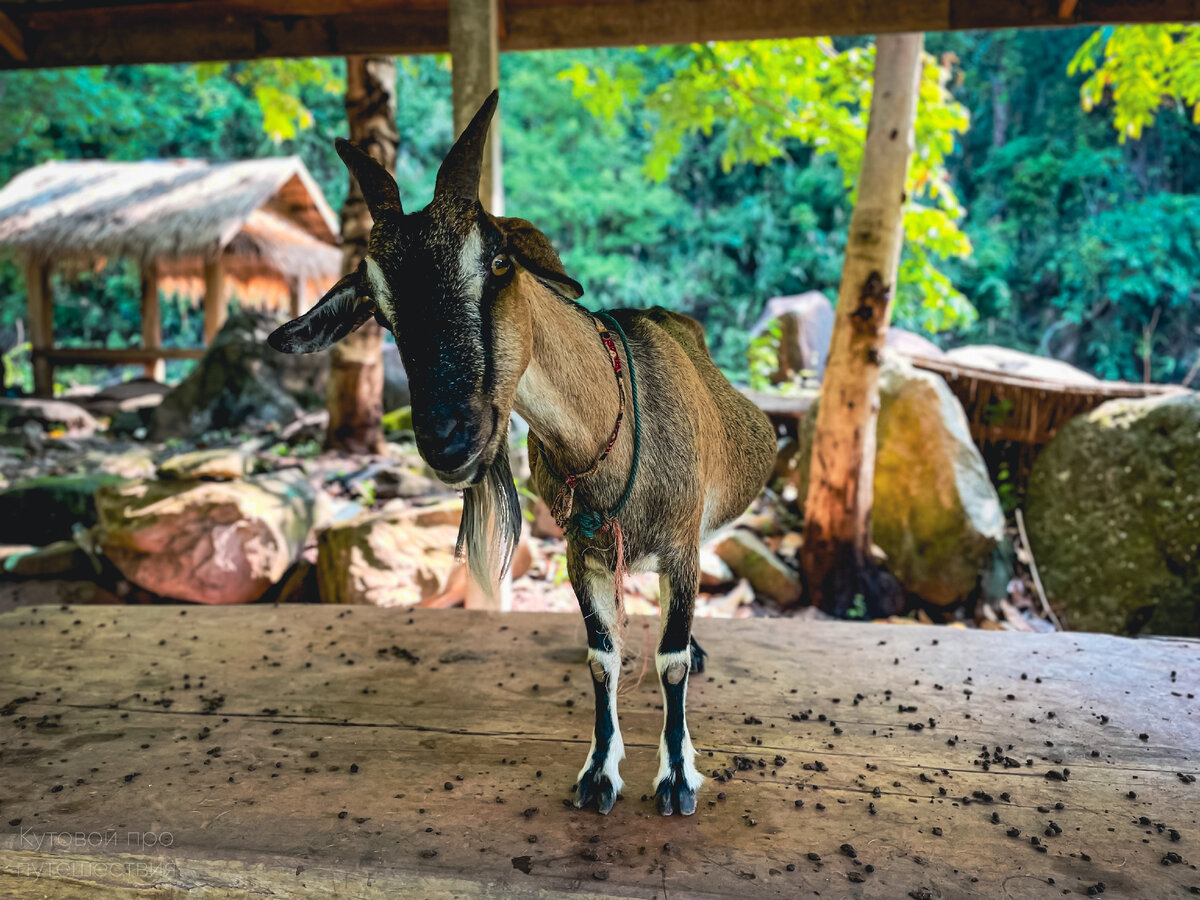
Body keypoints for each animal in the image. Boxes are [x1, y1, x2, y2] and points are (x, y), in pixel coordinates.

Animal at [267, 91, 772, 816]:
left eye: (499, 262)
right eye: (380, 309)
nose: (448, 438)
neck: (610, 432)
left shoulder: (680, 546)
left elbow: (671, 659)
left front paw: (676, 779)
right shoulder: (581, 553)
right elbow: (601, 657)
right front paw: (598, 773)